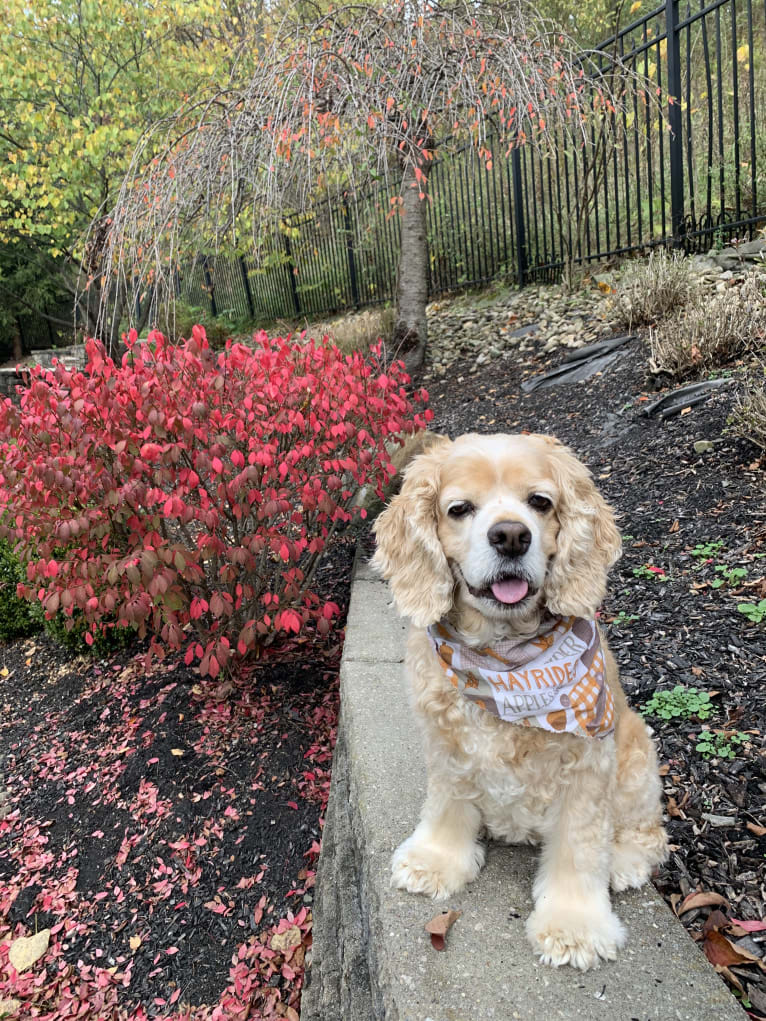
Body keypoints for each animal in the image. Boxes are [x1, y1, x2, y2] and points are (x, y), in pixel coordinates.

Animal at [369, 432, 665, 971]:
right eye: (459, 509)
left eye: (540, 502)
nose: (510, 536)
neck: (503, 655)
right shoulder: (448, 749)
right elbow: (446, 806)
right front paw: (435, 860)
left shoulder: (588, 767)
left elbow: (580, 848)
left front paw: (574, 926)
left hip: (636, 755)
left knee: (648, 833)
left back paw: (623, 862)